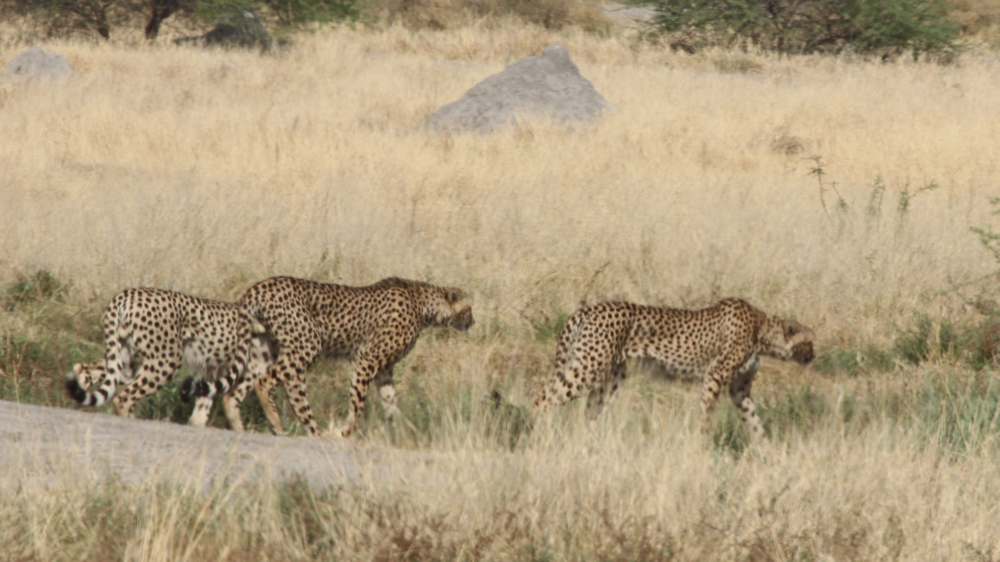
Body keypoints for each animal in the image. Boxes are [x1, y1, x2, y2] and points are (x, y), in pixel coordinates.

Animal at [65, 287, 270, 430]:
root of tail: (126, 294)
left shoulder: (213, 372)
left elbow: (203, 407)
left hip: (126, 360)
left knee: (83, 370)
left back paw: (78, 406)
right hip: (165, 361)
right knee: (122, 399)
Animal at [183, 276, 474, 438]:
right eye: (469, 308)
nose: (473, 322)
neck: (425, 305)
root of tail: (259, 286)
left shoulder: (384, 369)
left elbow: (392, 405)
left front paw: (406, 433)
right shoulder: (368, 359)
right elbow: (358, 406)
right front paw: (343, 432)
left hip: (263, 350)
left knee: (234, 391)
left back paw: (241, 427)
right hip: (307, 345)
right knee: (270, 383)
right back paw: (301, 428)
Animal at [531, 298, 814, 443]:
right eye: (809, 341)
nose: (814, 356)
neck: (762, 330)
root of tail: (584, 310)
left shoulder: (739, 389)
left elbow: (755, 423)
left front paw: (768, 454)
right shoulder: (715, 375)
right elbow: (706, 415)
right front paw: (702, 446)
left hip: (612, 377)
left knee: (589, 414)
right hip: (587, 368)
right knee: (542, 399)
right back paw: (534, 433)